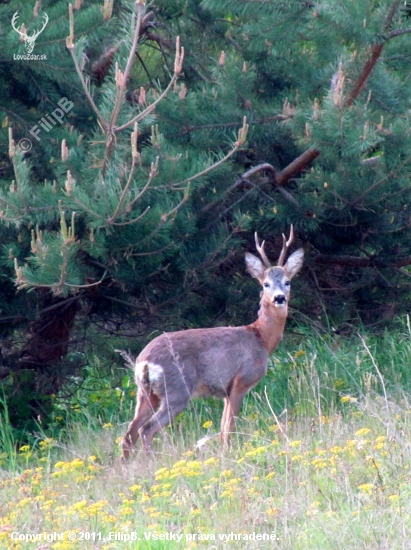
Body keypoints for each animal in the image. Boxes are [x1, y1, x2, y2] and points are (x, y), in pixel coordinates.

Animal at [120, 226, 304, 460]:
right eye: (266, 283)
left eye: (287, 282)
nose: (279, 298)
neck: (261, 337)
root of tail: (144, 362)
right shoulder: (240, 381)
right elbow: (229, 428)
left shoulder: (225, 391)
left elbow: (222, 428)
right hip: (177, 389)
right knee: (147, 429)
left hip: (145, 394)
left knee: (129, 433)